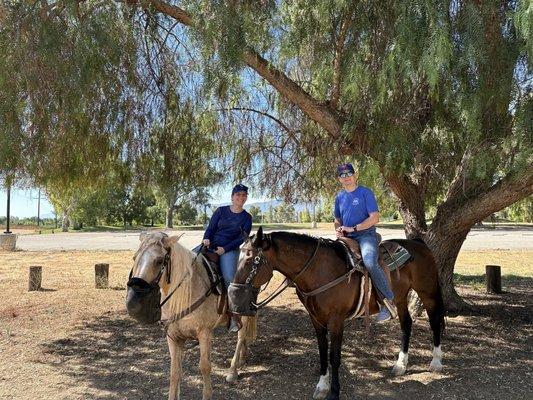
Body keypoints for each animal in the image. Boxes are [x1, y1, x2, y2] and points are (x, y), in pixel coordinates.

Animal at [125, 233, 256, 400]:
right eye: (134, 258)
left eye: (159, 261)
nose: (132, 303)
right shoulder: (173, 337)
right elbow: (175, 372)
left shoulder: (205, 333)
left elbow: (205, 367)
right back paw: (242, 359)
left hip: (243, 312)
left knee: (241, 336)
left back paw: (233, 370)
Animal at [229, 228, 444, 400]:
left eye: (250, 258)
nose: (232, 294)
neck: (319, 271)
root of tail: (419, 243)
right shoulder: (316, 320)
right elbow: (323, 353)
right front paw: (322, 386)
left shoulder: (336, 321)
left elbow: (334, 357)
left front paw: (334, 391)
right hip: (399, 298)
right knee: (406, 324)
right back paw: (401, 365)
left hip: (428, 292)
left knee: (434, 321)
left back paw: (436, 361)